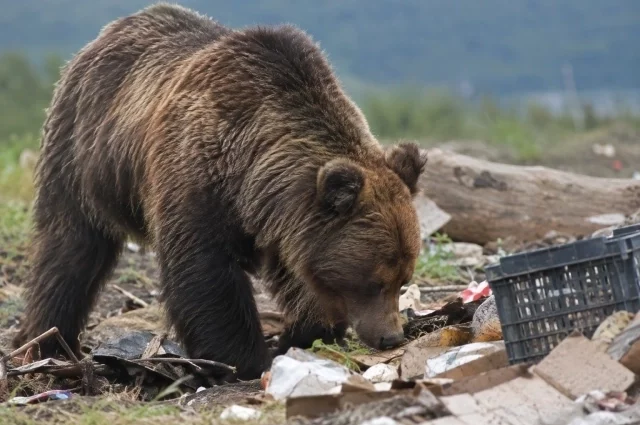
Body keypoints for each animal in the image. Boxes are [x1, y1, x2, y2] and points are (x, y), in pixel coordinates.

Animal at [15, 3, 427, 381]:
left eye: (403, 279)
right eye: (374, 281)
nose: (391, 337)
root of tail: (109, 32)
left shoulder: (283, 221)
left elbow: (299, 276)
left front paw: (303, 333)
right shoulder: (198, 174)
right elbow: (204, 271)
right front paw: (245, 359)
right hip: (81, 149)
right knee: (71, 247)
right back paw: (47, 343)